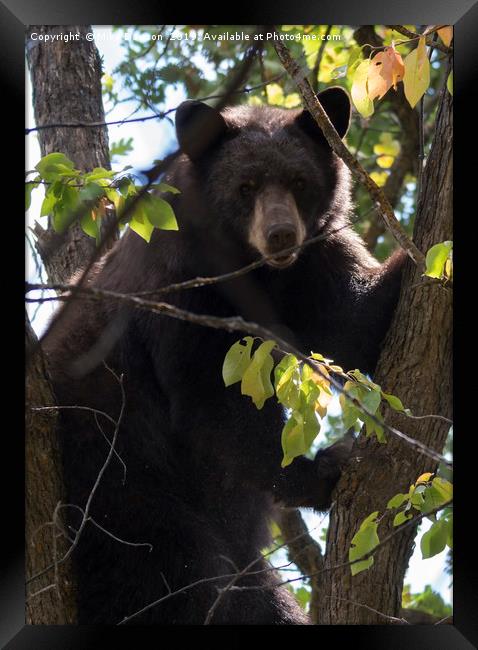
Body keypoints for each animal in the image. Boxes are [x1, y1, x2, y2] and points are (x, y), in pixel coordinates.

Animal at [44, 87, 404, 624]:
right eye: (246, 186)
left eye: (299, 181)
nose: (281, 235)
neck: (256, 272)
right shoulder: (182, 294)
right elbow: (215, 403)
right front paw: (321, 469)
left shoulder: (314, 263)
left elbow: (353, 322)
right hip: (119, 486)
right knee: (175, 575)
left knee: (257, 600)